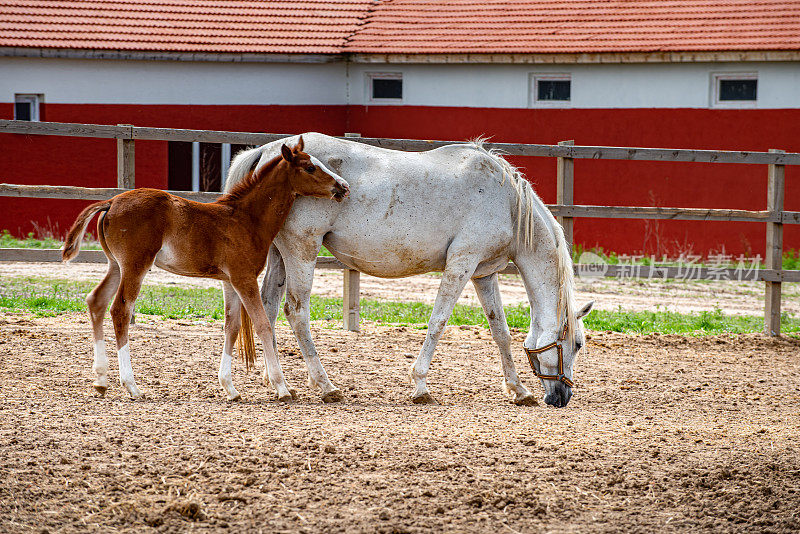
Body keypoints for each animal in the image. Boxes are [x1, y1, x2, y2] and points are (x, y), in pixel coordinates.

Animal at [61, 138, 348, 402]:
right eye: (310, 167)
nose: (342, 187)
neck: (246, 219)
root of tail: (111, 202)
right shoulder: (244, 278)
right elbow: (263, 324)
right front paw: (282, 387)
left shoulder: (229, 280)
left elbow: (231, 326)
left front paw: (230, 388)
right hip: (135, 265)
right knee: (120, 310)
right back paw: (131, 385)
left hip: (115, 265)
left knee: (96, 301)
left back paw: (100, 380)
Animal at [225, 134, 592, 410]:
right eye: (576, 344)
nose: (562, 397)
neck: (508, 203)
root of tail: (268, 151)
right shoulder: (461, 264)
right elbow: (438, 322)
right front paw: (420, 386)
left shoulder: (483, 274)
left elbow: (499, 331)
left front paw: (518, 390)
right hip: (302, 250)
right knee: (296, 312)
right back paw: (325, 385)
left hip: (279, 255)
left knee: (267, 309)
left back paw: (276, 382)